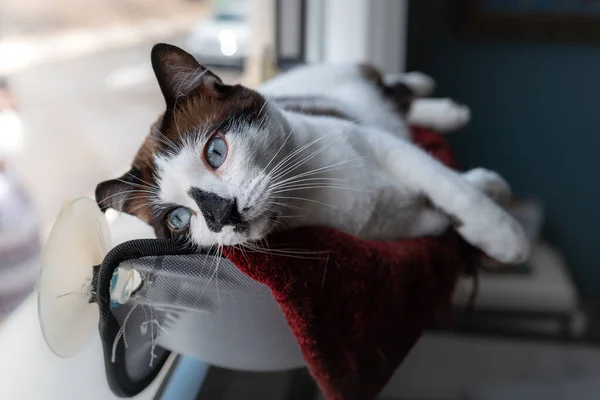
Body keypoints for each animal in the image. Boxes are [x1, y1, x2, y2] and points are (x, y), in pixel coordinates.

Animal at [95, 43, 528, 264]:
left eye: (215, 151)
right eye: (179, 219)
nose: (221, 214)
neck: (309, 191)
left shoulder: (383, 145)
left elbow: (451, 187)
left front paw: (506, 237)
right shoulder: (392, 226)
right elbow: (440, 210)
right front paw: (490, 189)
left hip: (351, 88)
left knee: (386, 85)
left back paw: (438, 98)